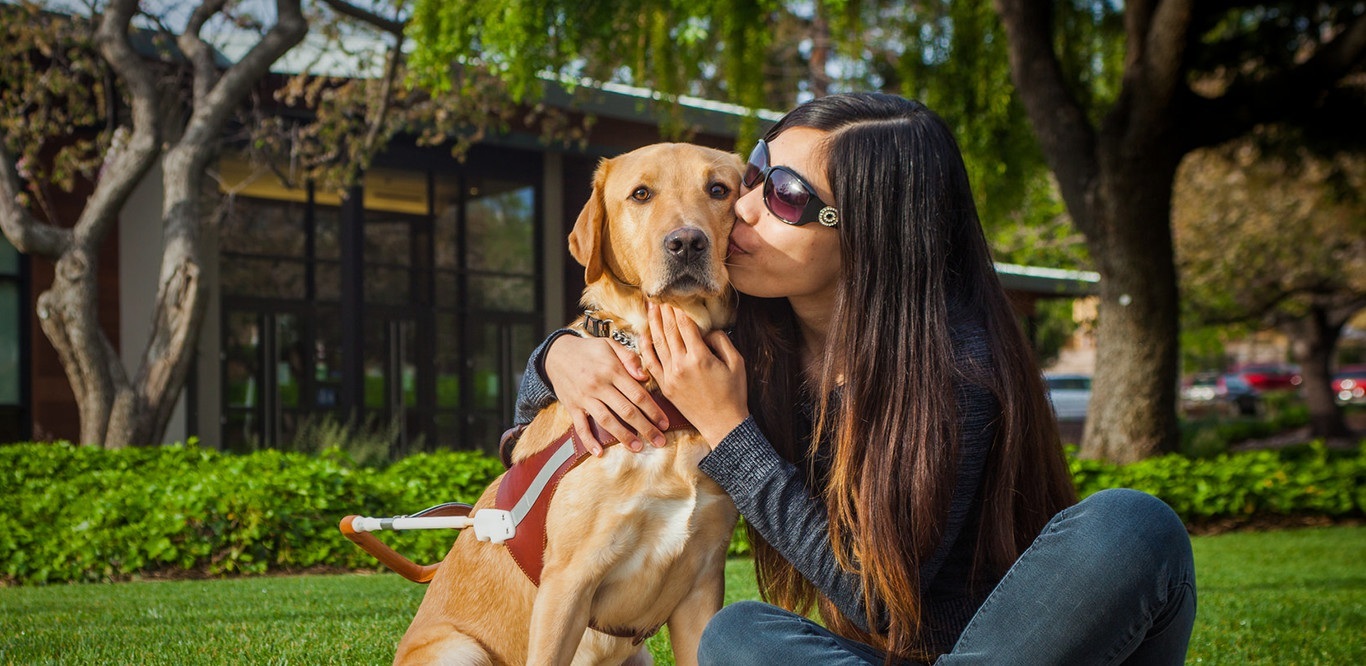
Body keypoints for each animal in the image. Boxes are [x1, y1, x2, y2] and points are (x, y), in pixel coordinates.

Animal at [390, 143, 743, 663]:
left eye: (719, 190)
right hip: (458, 649)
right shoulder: (568, 582)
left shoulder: (701, 586)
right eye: (641, 194)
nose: (686, 243)